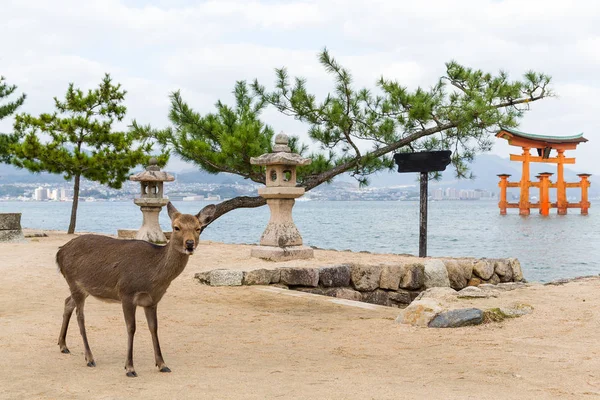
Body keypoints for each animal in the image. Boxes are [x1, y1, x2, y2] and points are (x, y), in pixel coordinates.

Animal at [54, 203, 216, 378]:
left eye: (198, 228)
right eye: (176, 227)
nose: (190, 244)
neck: (153, 277)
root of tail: (59, 252)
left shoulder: (152, 301)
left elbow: (154, 328)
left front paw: (162, 364)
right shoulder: (126, 293)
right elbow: (131, 328)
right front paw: (130, 368)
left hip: (82, 288)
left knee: (67, 302)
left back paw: (63, 345)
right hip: (74, 282)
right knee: (80, 316)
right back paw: (89, 358)